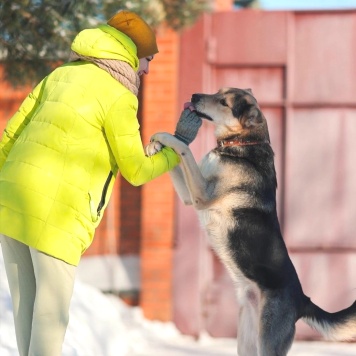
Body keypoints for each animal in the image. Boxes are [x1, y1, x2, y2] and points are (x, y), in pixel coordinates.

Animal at [145, 87, 356, 356]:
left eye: (223, 102)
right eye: (218, 91)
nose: (193, 96)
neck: (241, 143)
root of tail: (302, 300)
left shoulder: (203, 195)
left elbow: (184, 149)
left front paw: (164, 137)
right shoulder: (190, 197)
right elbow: (175, 161)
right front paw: (155, 145)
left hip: (268, 342)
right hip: (246, 341)